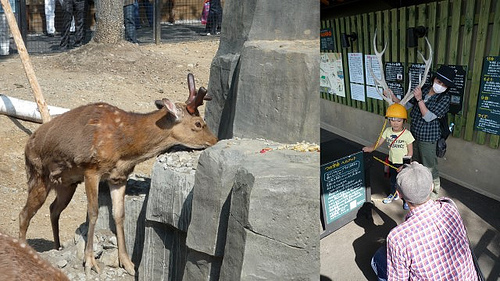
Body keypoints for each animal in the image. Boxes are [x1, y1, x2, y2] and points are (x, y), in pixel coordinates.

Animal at [18, 72, 218, 276]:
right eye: (198, 123)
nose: (215, 140)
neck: (125, 149)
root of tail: (28, 145)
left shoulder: (118, 177)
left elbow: (119, 215)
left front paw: (128, 263)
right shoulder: (91, 170)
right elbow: (93, 212)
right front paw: (90, 261)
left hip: (67, 184)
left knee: (53, 209)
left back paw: (57, 247)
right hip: (37, 174)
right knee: (24, 214)